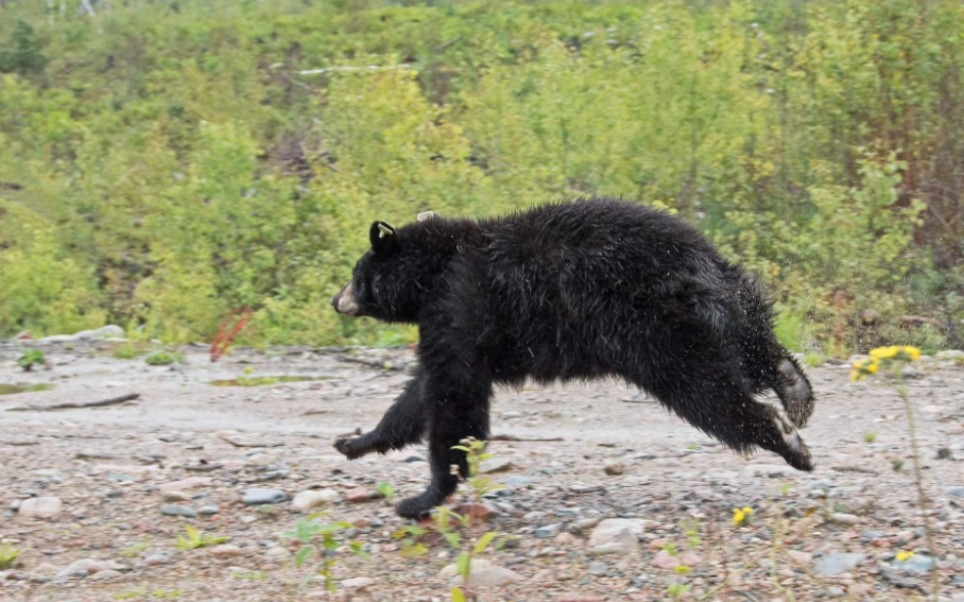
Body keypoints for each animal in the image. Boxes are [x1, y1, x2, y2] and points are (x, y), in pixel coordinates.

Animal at [330, 197, 812, 516]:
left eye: (357, 273)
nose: (336, 300)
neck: (435, 272)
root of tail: (701, 265)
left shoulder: (459, 310)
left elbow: (454, 400)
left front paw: (421, 498)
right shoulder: (451, 329)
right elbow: (420, 394)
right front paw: (354, 441)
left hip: (658, 334)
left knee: (710, 394)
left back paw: (788, 440)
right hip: (732, 302)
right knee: (754, 348)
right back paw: (795, 390)